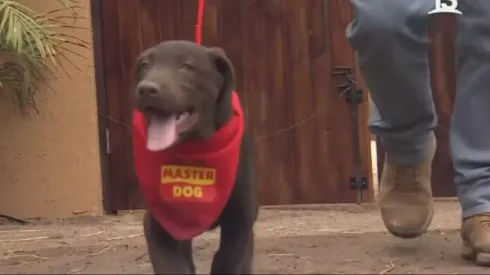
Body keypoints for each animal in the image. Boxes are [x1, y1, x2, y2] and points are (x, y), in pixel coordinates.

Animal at [132, 40, 258, 274]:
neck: (195, 150)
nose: (146, 89)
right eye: (144, 65)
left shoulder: (240, 222)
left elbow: (227, 261)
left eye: (187, 67)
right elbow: (173, 265)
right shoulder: (159, 224)